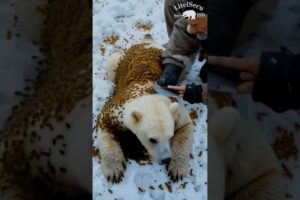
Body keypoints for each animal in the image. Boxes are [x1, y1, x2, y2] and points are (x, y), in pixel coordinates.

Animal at [97, 34, 193, 183]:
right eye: (152, 139)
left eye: (170, 136)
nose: (165, 159)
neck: (144, 93)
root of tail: (147, 41)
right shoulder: (116, 109)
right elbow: (103, 124)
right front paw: (114, 171)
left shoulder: (174, 108)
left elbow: (186, 126)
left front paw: (176, 169)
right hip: (120, 63)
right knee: (113, 60)